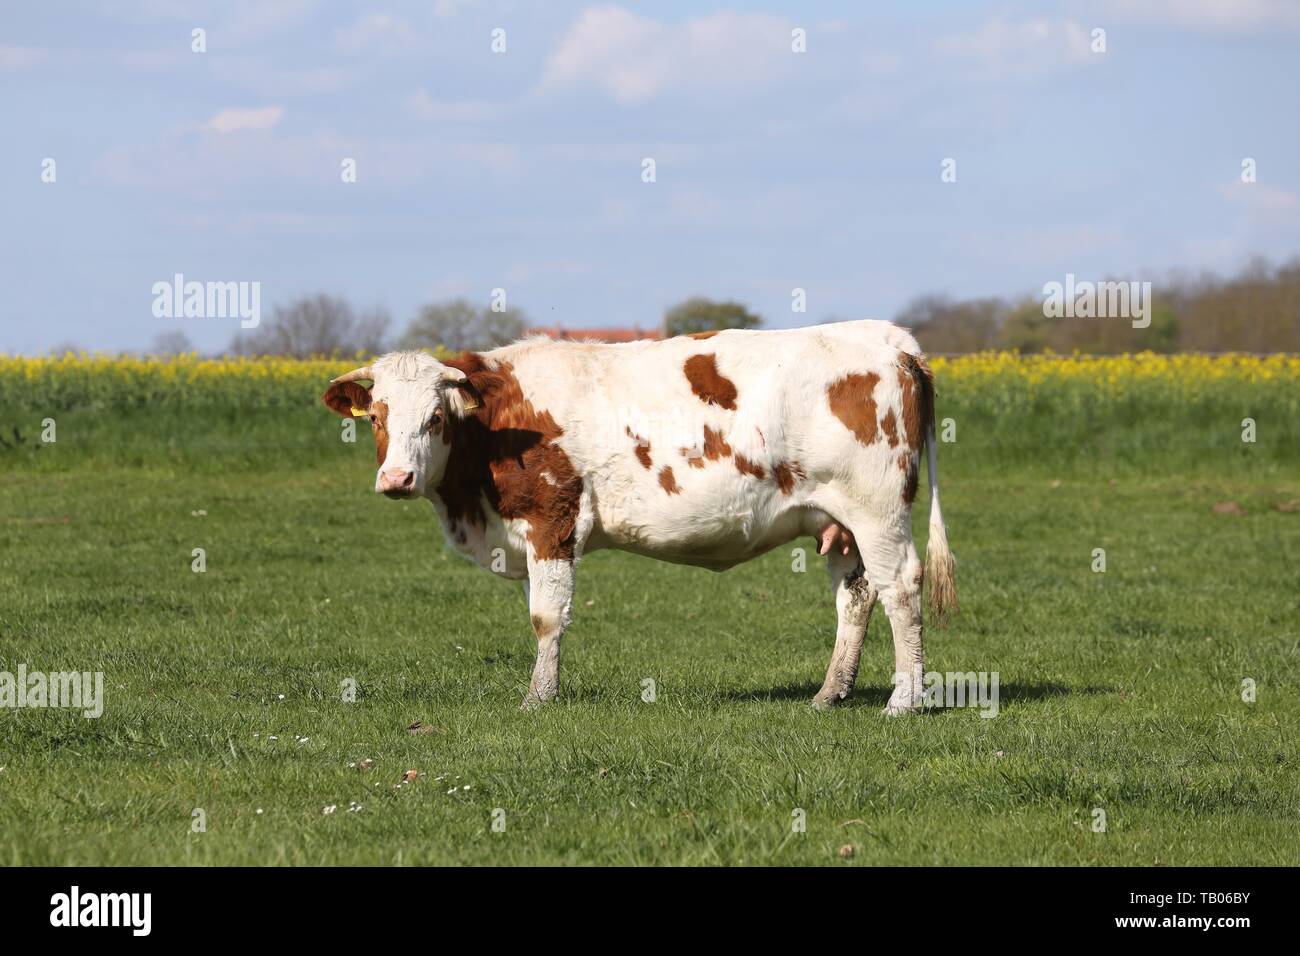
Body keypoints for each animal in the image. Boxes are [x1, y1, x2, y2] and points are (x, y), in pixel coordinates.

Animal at [321, 320, 956, 713]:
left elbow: (545, 618)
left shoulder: (553, 520)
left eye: (434, 419)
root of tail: (889, 339)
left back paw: (904, 700)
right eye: (376, 417)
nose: (396, 480)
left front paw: (538, 698)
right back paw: (830, 693)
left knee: (901, 587)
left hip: (876, 509)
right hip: (839, 522)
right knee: (857, 596)